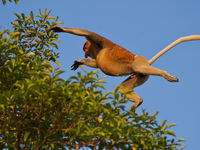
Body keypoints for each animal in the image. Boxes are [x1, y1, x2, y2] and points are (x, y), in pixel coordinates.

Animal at [49, 25, 200, 112]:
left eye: (85, 48)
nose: (85, 54)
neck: (98, 49)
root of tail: (147, 62)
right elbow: (96, 64)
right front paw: (79, 62)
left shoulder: (102, 42)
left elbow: (88, 33)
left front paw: (60, 29)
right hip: (139, 76)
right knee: (123, 87)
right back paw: (138, 102)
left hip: (139, 63)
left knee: (139, 67)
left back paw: (166, 75)